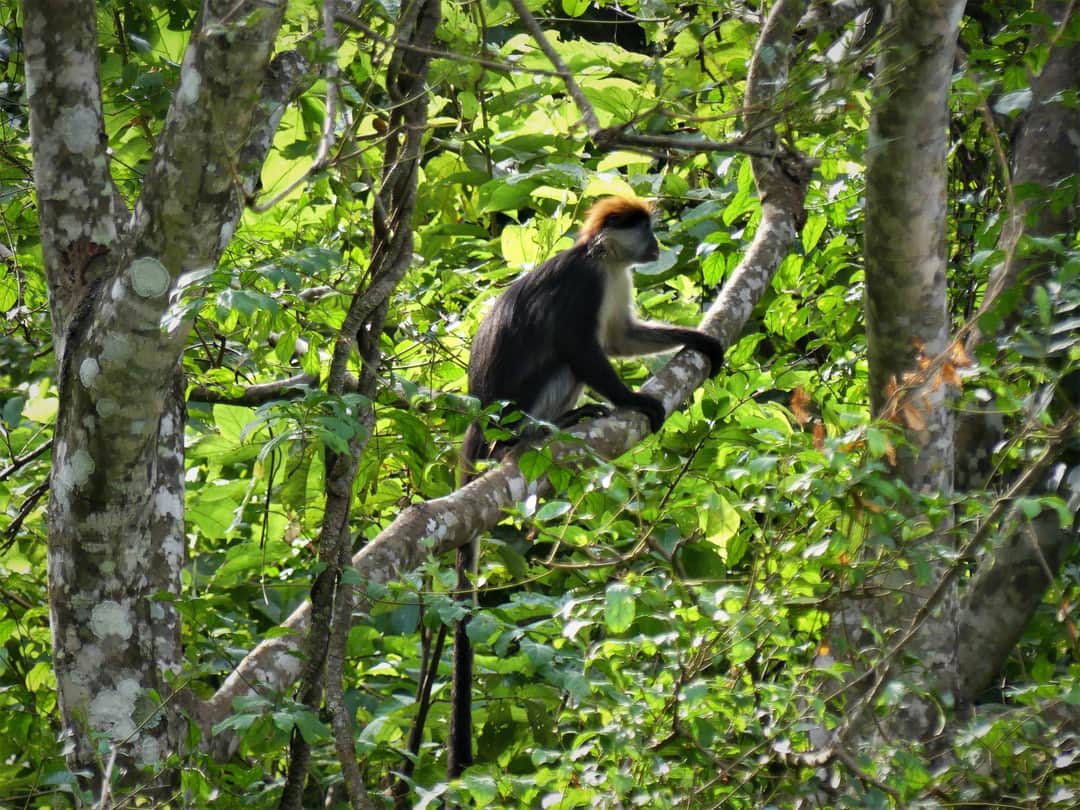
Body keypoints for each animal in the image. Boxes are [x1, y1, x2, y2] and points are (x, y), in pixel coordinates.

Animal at [446, 196, 726, 777]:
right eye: (647, 232)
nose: (659, 247)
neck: (601, 260)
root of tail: (480, 428)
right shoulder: (585, 284)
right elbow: (581, 347)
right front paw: (636, 401)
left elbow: (618, 339)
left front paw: (698, 338)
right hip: (515, 411)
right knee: (561, 359)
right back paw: (530, 439)